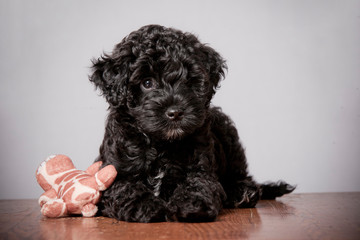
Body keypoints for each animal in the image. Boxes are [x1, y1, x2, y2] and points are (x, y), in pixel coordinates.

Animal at [88, 24, 294, 223]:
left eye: (189, 81)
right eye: (147, 83)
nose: (175, 112)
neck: (162, 143)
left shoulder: (200, 168)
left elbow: (198, 184)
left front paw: (193, 204)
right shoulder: (112, 173)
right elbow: (125, 188)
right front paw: (145, 205)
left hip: (228, 135)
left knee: (240, 174)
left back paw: (242, 192)